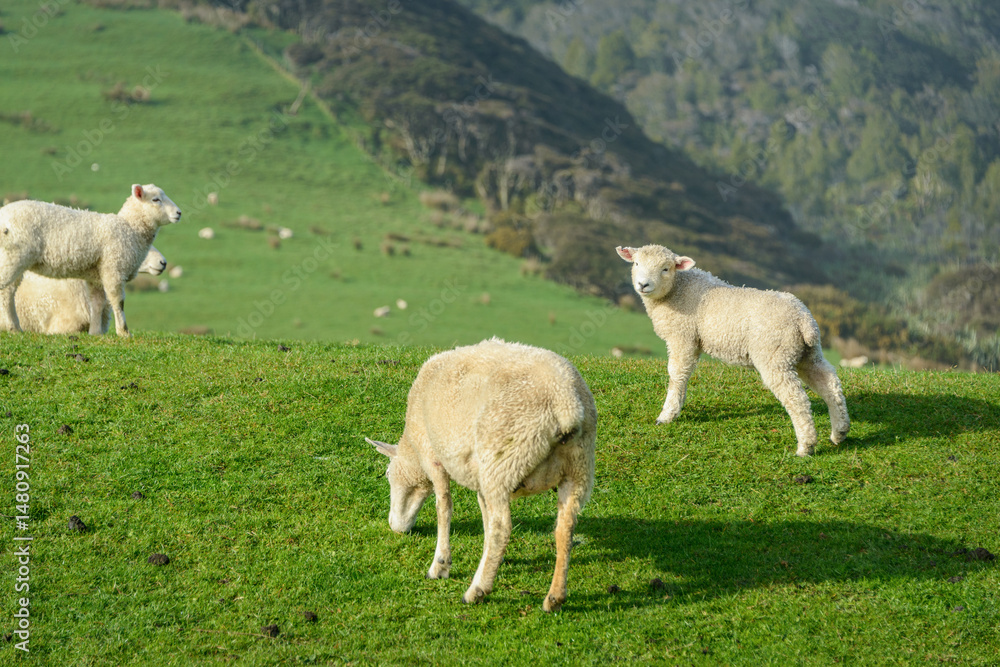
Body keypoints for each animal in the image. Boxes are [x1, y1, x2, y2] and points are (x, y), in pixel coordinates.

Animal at [367, 337, 596, 612]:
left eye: (388, 474)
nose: (394, 526)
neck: (412, 446)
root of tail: (566, 406)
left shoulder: (434, 457)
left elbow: (444, 506)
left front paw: (440, 565)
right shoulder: (478, 475)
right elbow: (484, 514)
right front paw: (492, 560)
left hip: (503, 462)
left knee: (502, 528)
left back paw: (476, 591)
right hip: (577, 469)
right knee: (565, 528)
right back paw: (554, 598)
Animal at [616, 244, 849, 456]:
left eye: (665, 268)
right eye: (636, 264)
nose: (643, 284)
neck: (678, 289)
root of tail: (804, 320)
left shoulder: (682, 337)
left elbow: (676, 373)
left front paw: (667, 415)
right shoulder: (692, 341)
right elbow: (684, 374)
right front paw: (678, 406)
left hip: (774, 355)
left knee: (797, 398)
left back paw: (805, 447)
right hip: (807, 353)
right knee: (829, 383)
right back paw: (840, 432)